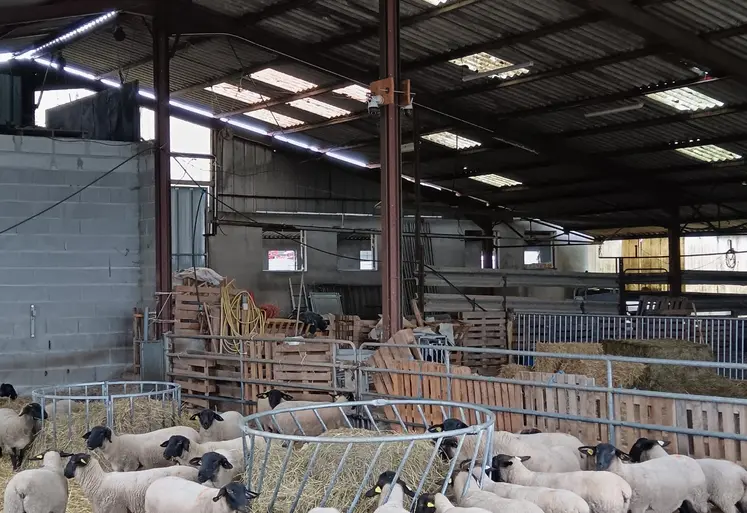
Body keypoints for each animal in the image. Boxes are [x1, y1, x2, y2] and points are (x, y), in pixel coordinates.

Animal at [580, 440, 712, 513]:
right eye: (596, 451)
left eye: (612, 452)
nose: (599, 464)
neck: (625, 473)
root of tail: (689, 458)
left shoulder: (638, 507)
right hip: (684, 500)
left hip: (699, 499)